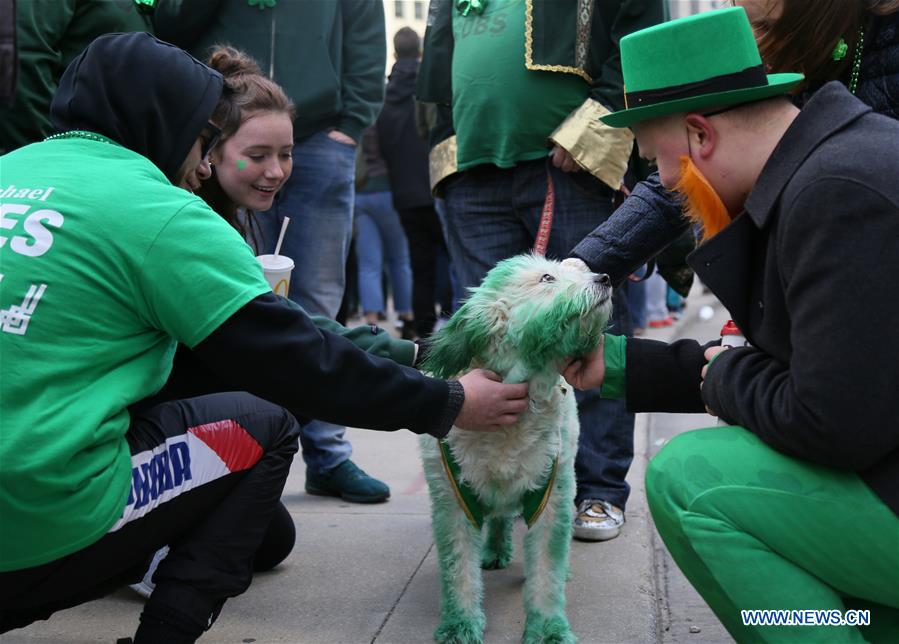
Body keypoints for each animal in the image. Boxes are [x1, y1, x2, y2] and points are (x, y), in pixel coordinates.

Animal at [420, 254, 612, 644]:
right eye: (547, 278)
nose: (604, 277)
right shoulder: (453, 504)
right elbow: (458, 572)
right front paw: (459, 625)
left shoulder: (549, 499)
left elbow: (547, 573)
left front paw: (550, 629)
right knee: (498, 518)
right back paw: (494, 549)